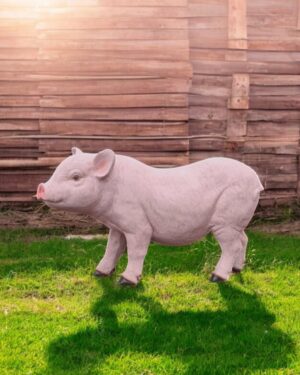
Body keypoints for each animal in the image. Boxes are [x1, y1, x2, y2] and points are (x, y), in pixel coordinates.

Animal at [36, 148, 264, 286]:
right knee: (244, 239)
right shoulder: (117, 227)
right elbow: (112, 248)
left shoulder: (138, 226)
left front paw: (126, 282)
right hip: (236, 221)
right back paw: (237, 269)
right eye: (56, 170)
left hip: (227, 219)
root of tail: (256, 181)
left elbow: (136, 252)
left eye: (76, 177)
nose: (41, 187)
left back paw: (217, 278)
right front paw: (99, 273)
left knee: (231, 246)